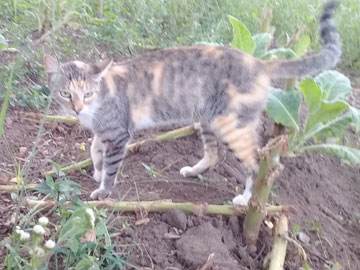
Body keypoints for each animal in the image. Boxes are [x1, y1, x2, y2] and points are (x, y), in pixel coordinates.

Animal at [44, 2, 340, 204]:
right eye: (65, 94)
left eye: (87, 94)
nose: (76, 109)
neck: (101, 99)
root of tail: (259, 62)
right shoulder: (103, 132)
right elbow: (94, 148)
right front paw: (95, 169)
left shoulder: (119, 134)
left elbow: (111, 166)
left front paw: (102, 189)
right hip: (208, 120)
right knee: (214, 153)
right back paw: (192, 171)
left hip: (232, 126)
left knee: (257, 165)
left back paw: (246, 200)